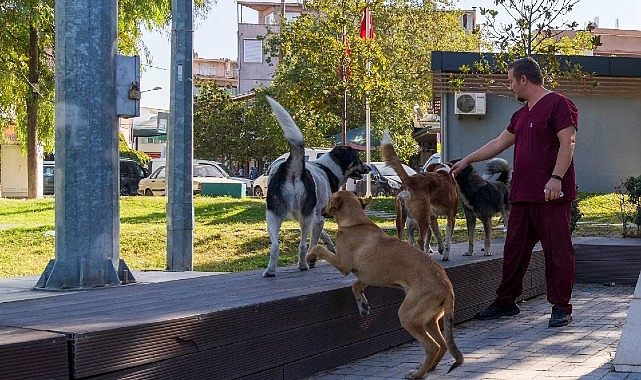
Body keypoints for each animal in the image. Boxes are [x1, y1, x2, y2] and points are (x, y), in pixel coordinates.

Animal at [262, 96, 370, 278]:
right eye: (357, 159)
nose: (369, 168)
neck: (327, 168)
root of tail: (293, 168)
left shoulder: (313, 216)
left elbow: (323, 235)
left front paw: (330, 247)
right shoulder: (317, 217)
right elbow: (313, 242)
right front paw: (312, 259)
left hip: (273, 215)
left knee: (275, 245)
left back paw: (270, 270)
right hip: (303, 218)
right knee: (302, 245)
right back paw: (303, 264)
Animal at [304, 191, 460, 378]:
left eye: (328, 200)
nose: (320, 210)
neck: (355, 223)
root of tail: (447, 286)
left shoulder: (343, 264)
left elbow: (318, 248)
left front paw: (309, 257)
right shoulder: (366, 276)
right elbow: (356, 286)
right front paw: (362, 305)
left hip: (408, 316)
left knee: (432, 347)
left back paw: (417, 374)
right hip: (429, 319)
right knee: (443, 345)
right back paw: (427, 368)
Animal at [378, 131, 458, 262]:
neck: (444, 172)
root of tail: (410, 181)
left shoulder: (433, 217)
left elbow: (438, 234)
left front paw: (440, 249)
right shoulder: (451, 216)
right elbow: (447, 240)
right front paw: (445, 254)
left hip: (401, 218)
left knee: (401, 238)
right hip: (423, 217)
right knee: (420, 240)